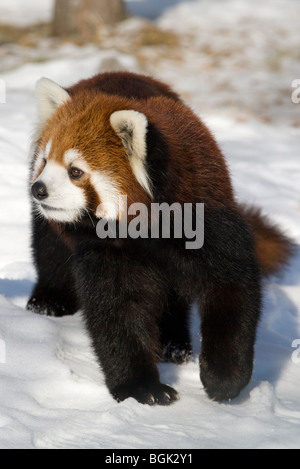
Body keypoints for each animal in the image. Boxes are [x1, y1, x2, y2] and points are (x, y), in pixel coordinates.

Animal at [27, 71, 292, 404]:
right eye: (45, 162)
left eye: (75, 171)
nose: (38, 189)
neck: (150, 230)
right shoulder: (106, 248)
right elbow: (117, 311)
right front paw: (141, 387)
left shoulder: (208, 219)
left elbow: (233, 291)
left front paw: (224, 379)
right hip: (52, 228)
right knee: (50, 252)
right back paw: (48, 302)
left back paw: (174, 345)